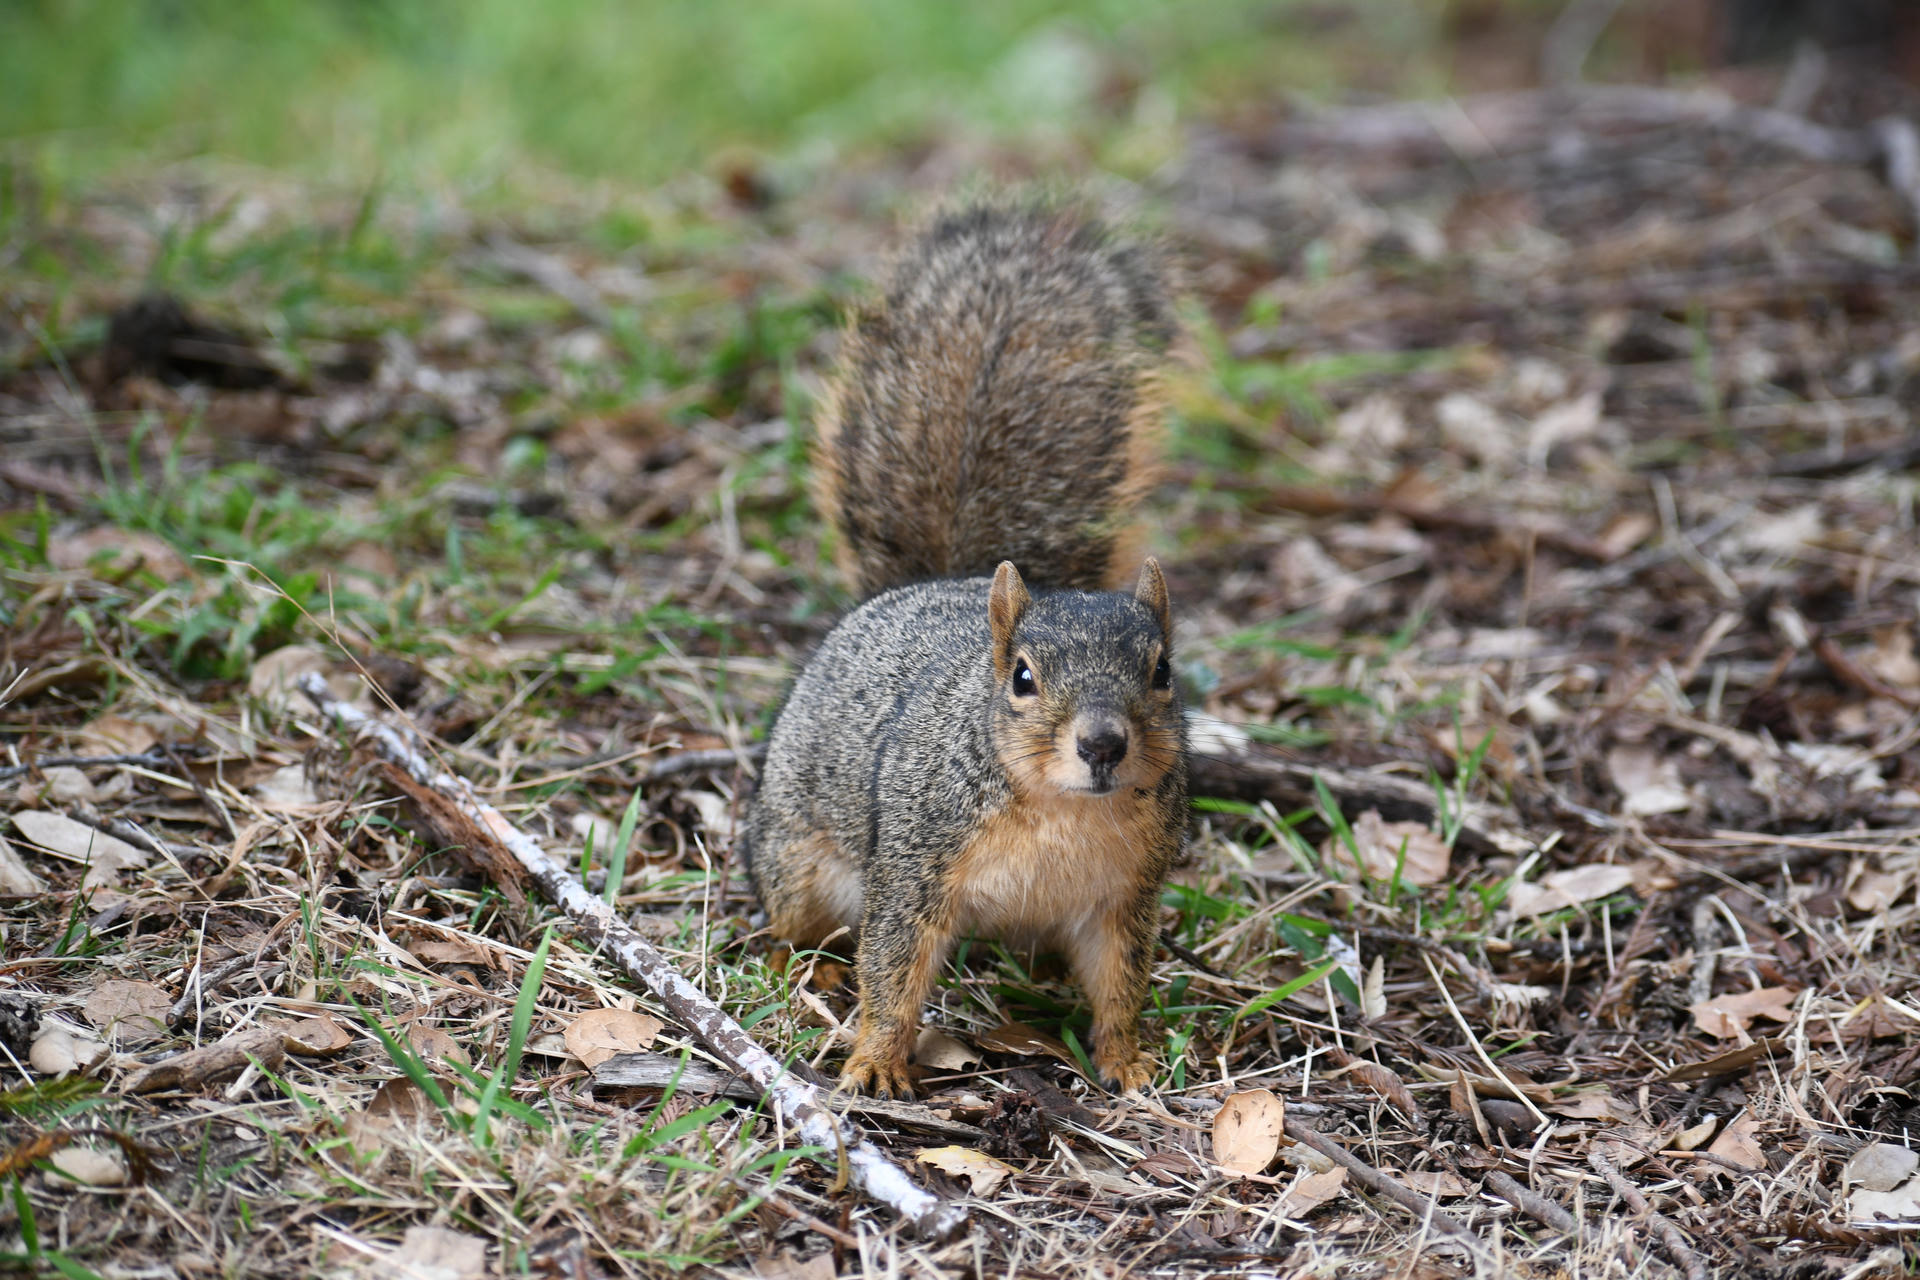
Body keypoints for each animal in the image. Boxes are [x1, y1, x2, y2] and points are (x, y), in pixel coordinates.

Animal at [743, 203, 1188, 1098]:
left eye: (1162, 670)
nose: (1102, 743)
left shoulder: (1124, 897)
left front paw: (1127, 1059)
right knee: (793, 916)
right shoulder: (914, 867)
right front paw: (877, 1061)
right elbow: (892, 968)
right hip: (798, 854)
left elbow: (1121, 982)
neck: (1064, 814)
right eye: (1021, 677)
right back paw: (802, 961)